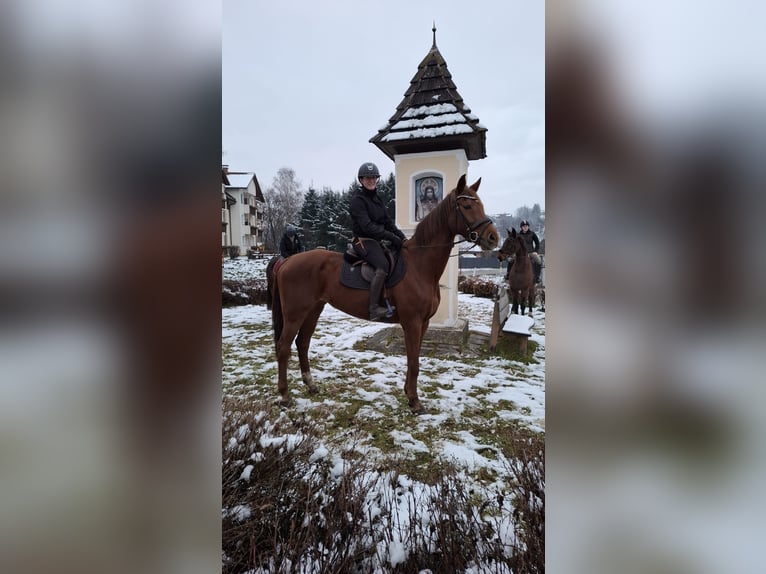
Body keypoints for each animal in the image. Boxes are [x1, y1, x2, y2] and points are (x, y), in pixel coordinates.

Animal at [270, 174, 498, 413]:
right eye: (467, 206)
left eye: (480, 204)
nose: (493, 238)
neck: (419, 265)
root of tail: (286, 262)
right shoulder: (412, 322)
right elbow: (414, 362)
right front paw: (415, 401)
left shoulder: (424, 323)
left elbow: (414, 358)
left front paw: (409, 393)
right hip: (295, 314)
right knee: (284, 347)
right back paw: (285, 395)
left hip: (313, 310)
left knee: (302, 343)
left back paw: (311, 385)